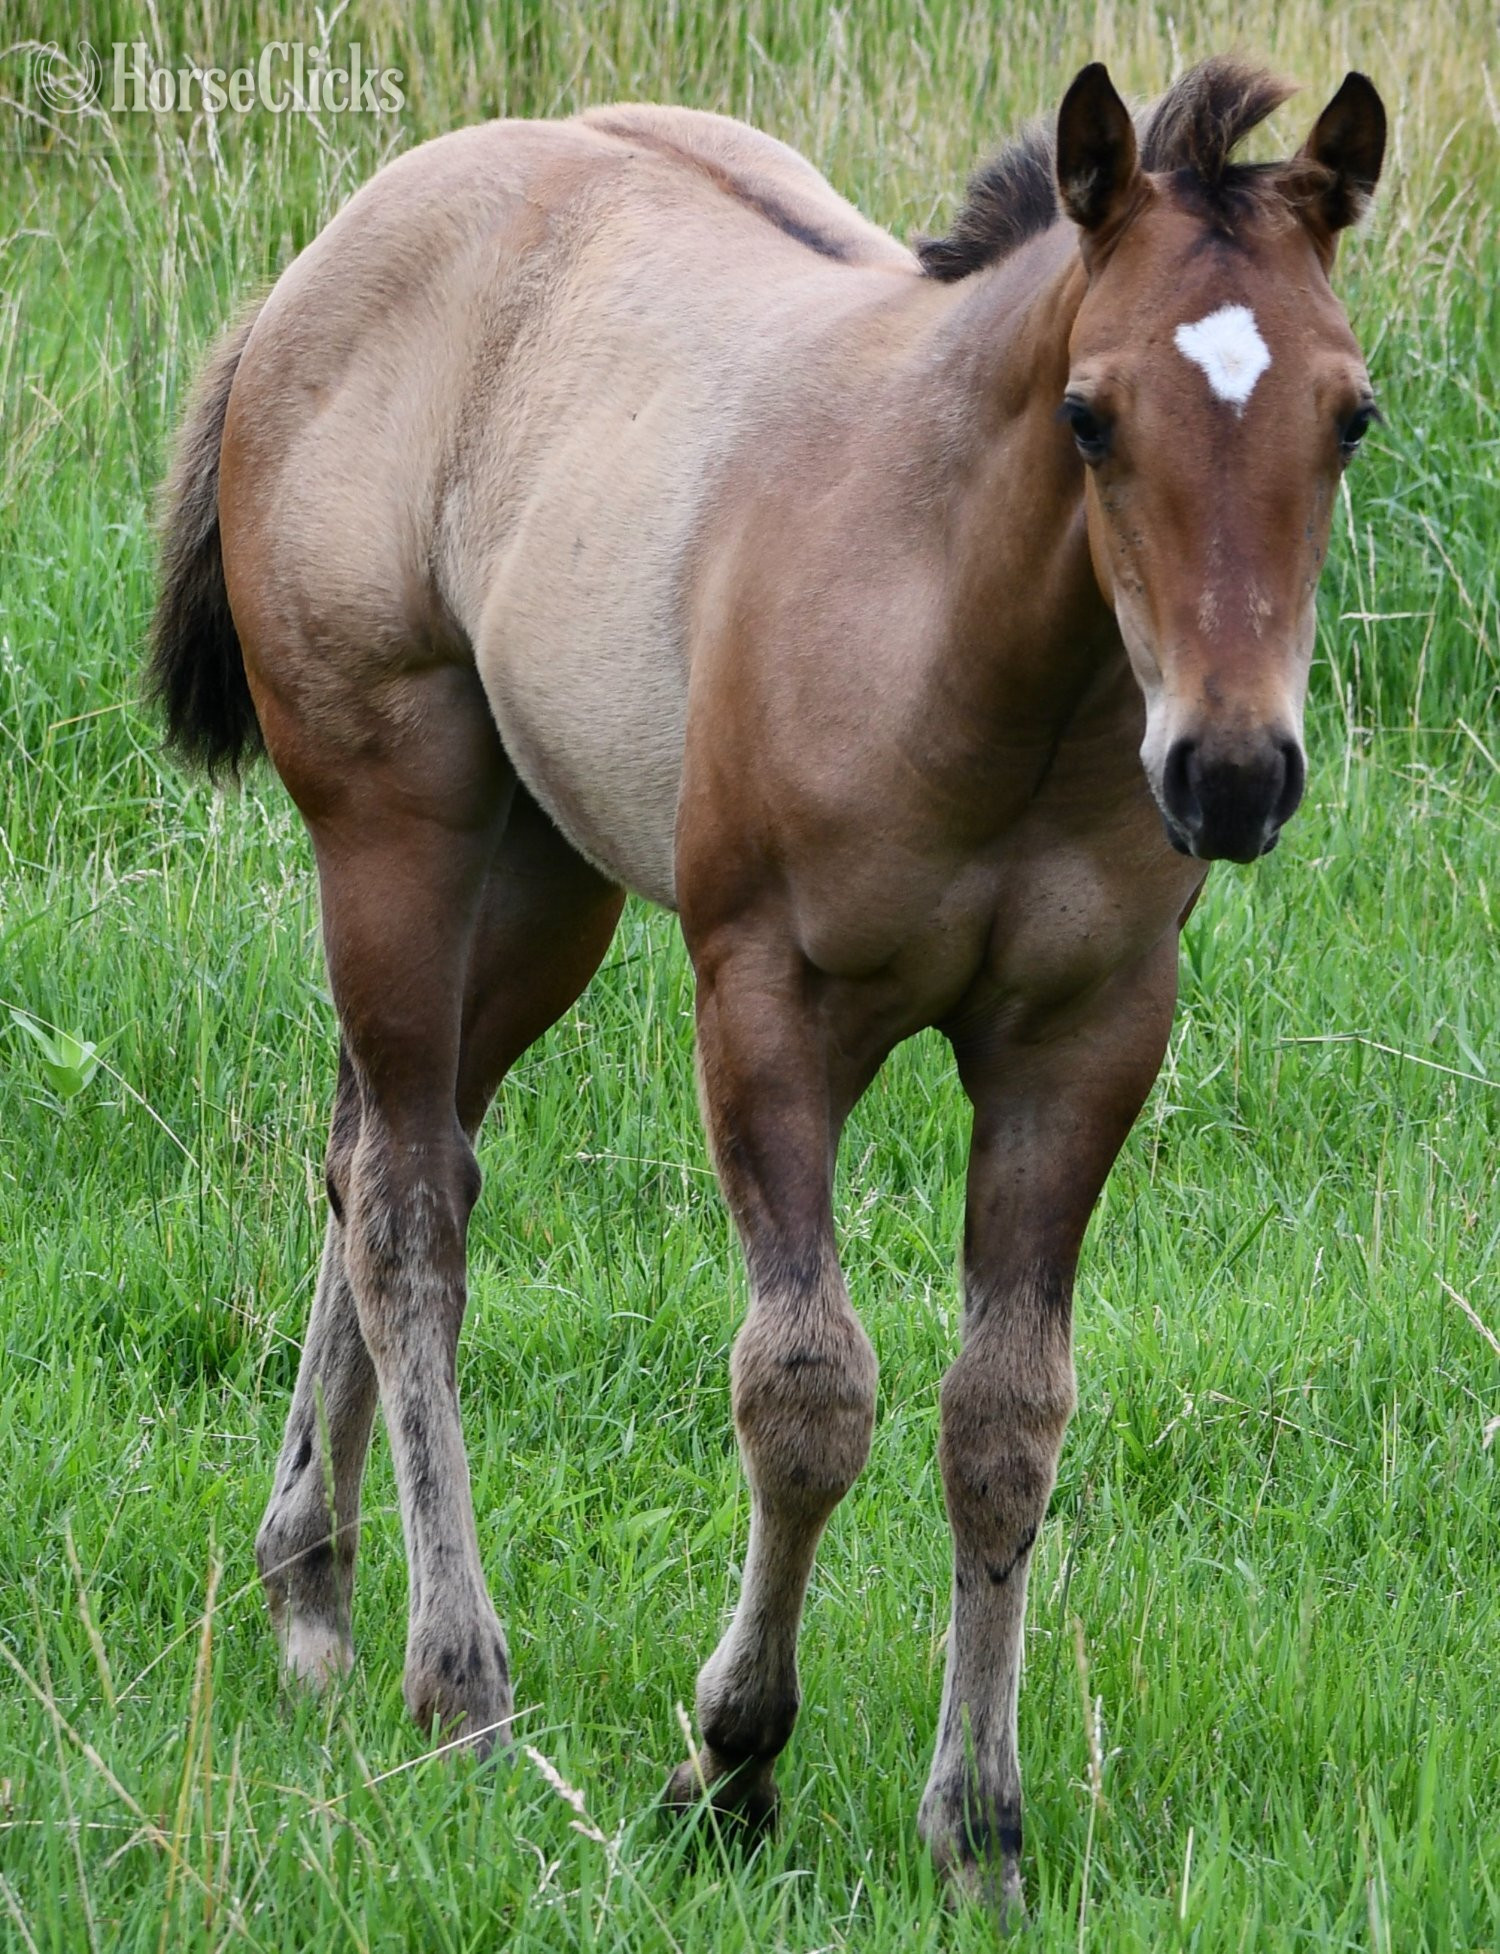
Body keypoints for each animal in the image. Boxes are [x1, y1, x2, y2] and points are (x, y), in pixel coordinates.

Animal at [149, 55, 1385, 1910]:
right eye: (1090, 416)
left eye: (1351, 415)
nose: (1232, 775)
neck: (968, 636)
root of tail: (340, 244)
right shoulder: (766, 998)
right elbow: (805, 1388)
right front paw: (728, 1761)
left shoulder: (1085, 1035)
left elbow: (1004, 1417)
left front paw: (980, 1827)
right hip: (395, 826)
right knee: (410, 1206)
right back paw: (460, 1684)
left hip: (548, 880)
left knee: (374, 1148)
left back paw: (312, 1595)